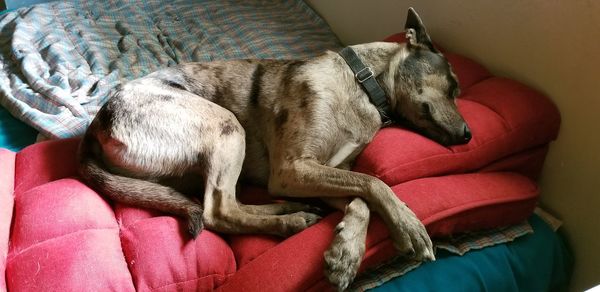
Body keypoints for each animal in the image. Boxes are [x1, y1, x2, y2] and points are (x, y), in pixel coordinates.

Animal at [78, 6, 468, 290]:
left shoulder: (320, 173)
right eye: (452, 86)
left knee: (228, 203)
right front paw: (409, 225)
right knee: (217, 211)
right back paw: (290, 221)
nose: (467, 135)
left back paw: (290, 210)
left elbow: (360, 198)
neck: (364, 84)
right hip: (226, 125)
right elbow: (374, 183)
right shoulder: (292, 169)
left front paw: (347, 252)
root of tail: (96, 124)